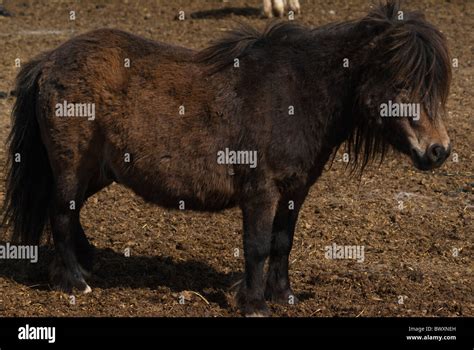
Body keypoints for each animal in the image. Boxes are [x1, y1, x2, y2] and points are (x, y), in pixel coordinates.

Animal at [0, 0, 452, 318]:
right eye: (401, 82)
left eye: (434, 84)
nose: (439, 150)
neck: (296, 95)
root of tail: (48, 61)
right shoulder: (260, 191)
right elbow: (257, 245)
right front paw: (254, 302)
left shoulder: (295, 191)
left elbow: (282, 243)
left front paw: (283, 295)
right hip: (71, 166)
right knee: (61, 213)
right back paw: (75, 282)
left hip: (98, 170)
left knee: (73, 212)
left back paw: (88, 263)